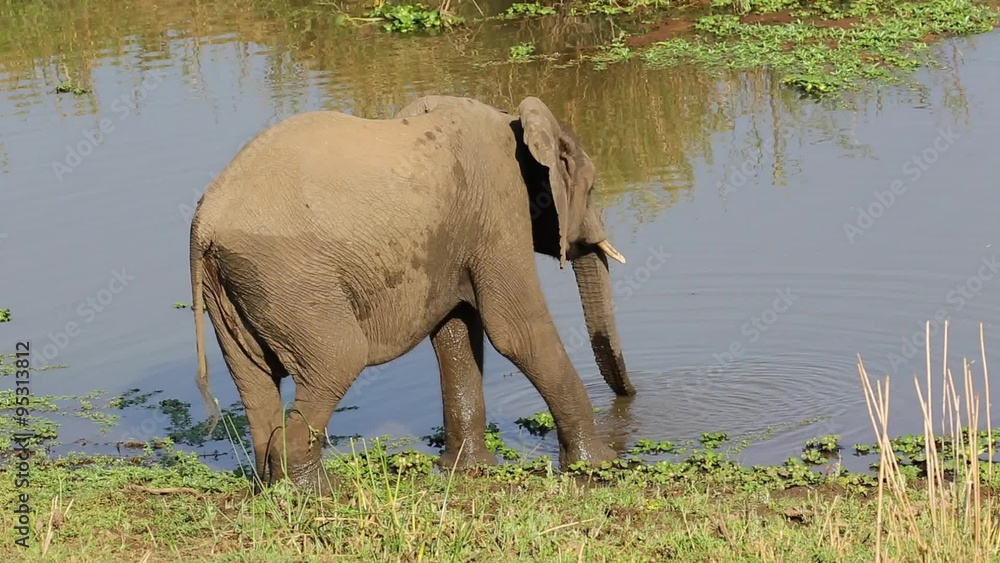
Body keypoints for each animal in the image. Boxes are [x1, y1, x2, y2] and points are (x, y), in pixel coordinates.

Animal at [190, 92, 636, 494]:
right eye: (591, 190)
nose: (630, 399)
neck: (513, 119)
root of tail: (203, 224)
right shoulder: (497, 203)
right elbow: (517, 331)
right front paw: (600, 465)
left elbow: (456, 333)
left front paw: (469, 469)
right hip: (288, 278)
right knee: (338, 359)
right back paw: (317, 491)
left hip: (235, 285)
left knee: (255, 380)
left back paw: (272, 485)